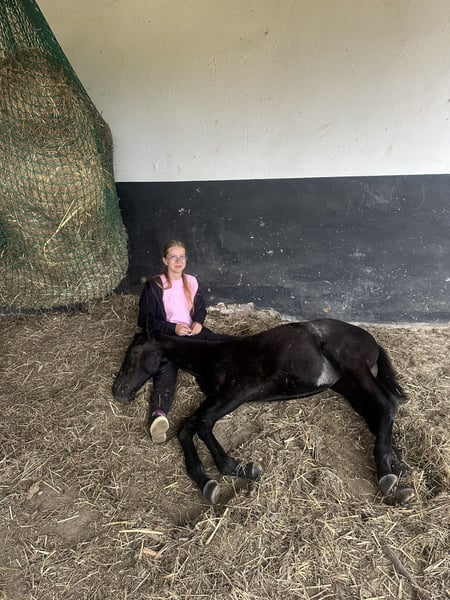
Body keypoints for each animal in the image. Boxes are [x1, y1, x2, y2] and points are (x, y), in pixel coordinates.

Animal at [113, 319, 414, 505]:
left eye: (134, 352)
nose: (118, 391)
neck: (214, 357)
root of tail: (370, 338)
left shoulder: (239, 391)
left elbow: (203, 423)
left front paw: (238, 467)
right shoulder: (216, 397)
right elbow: (186, 427)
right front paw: (204, 481)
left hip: (354, 367)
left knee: (388, 404)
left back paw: (386, 474)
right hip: (346, 384)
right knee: (375, 414)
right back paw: (397, 467)